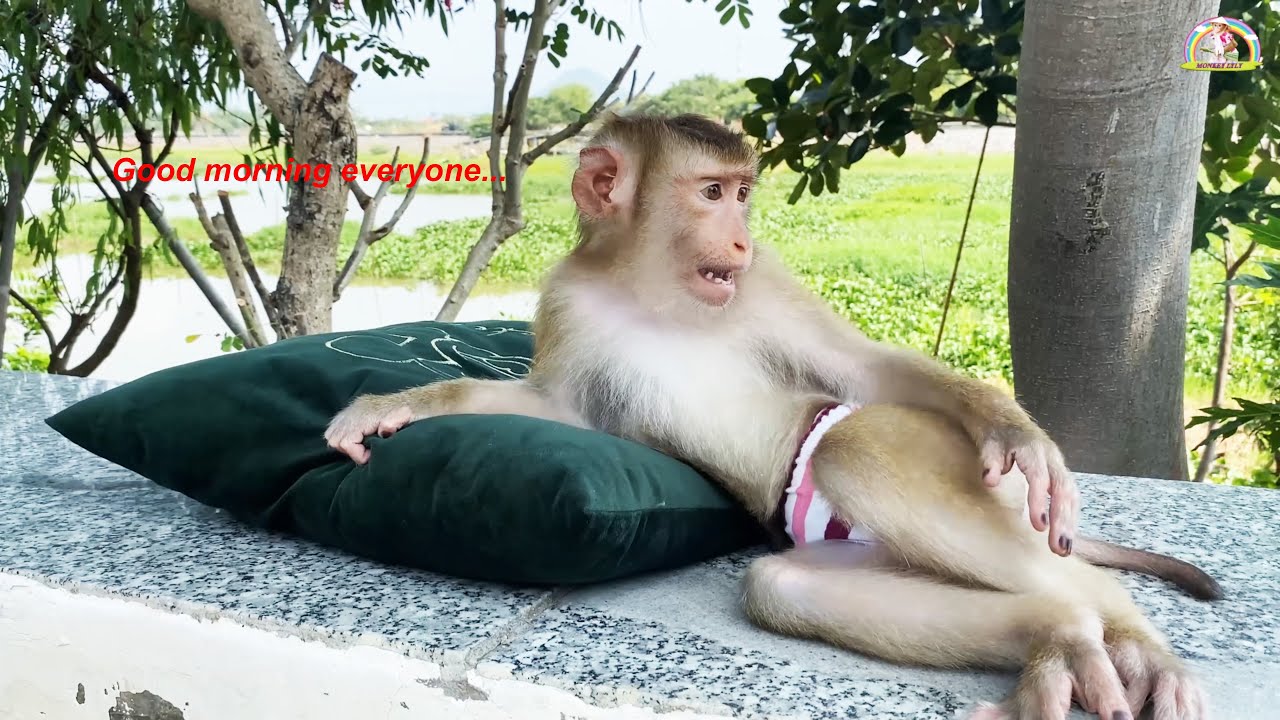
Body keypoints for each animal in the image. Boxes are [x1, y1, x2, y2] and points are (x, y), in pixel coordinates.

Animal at [325, 113, 1220, 720]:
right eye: (713, 193)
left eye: (743, 196)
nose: (740, 240)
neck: (653, 291)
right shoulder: (569, 301)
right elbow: (557, 410)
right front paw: (394, 406)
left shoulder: (766, 283)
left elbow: (866, 367)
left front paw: (1017, 431)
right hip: (850, 545)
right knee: (783, 585)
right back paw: (1060, 638)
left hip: (946, 460)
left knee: (860, 440)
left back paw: (1126, 634)